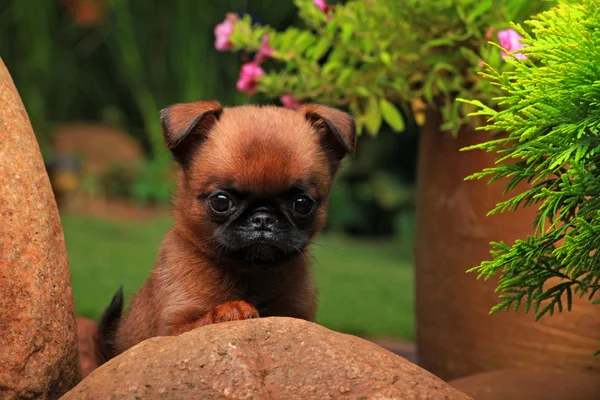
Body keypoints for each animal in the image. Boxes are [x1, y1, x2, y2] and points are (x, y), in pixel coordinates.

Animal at [95, 101, 354, 362]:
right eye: (220, 202)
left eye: (302, 204)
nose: (263, 218)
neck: (252, 274)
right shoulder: (171, 333)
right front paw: (231, 309)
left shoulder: (300, 315)